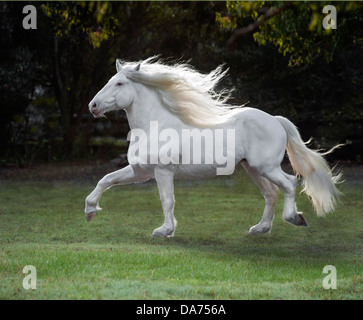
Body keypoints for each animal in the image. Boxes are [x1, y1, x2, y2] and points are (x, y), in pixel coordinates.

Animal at [86, 57, 344, 238]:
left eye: (119, 83)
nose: (93, 106)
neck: (155, 125)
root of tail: (275, 120)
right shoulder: (140, 172)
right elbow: (105, 180)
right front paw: (90, 211)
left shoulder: (163, 171)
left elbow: (167, 200)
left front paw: (164, 231)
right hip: (252, 168)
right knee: (271, 192)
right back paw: (259, 229)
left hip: (266, 167)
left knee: (289, 183)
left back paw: (294, 218)